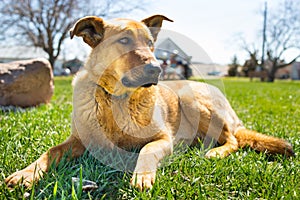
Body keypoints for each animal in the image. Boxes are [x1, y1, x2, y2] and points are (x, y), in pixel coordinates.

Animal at [5, 14, 296, 191]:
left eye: (149, 43)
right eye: (124, 40)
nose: (157, 69)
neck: (117, 99)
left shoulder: (163, 138)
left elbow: (146, 150)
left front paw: (143, 175)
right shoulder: (78, 141)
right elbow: (50, 151)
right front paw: (26, 173)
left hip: (190, 98)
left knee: (233, 139)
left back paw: (214, 151)